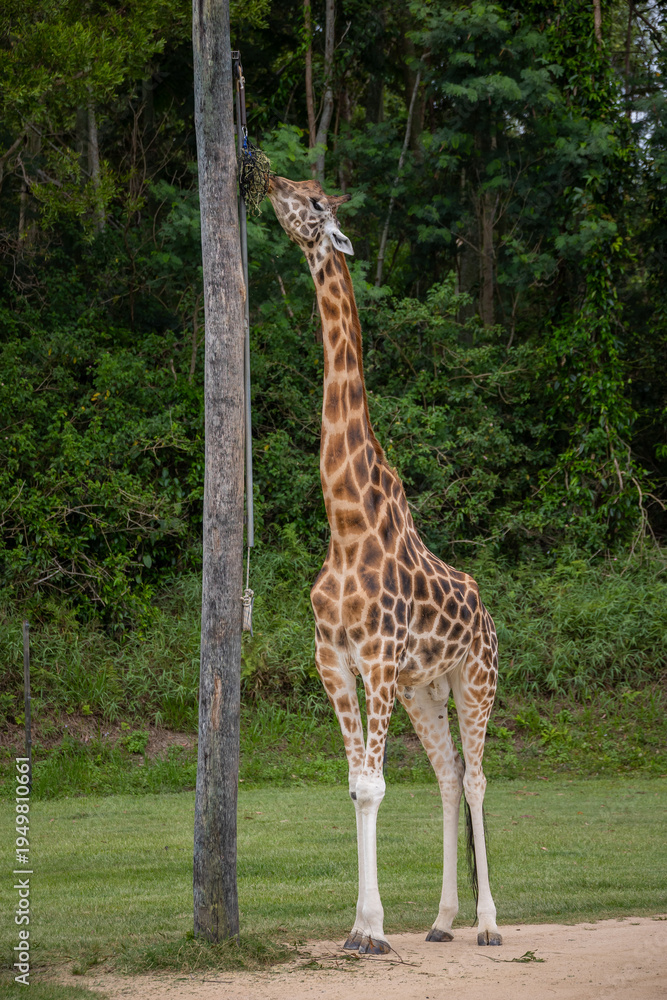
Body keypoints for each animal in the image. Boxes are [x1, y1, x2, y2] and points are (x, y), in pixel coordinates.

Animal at [267, 174, 502, 954]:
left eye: (314, 202)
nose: (265, 175)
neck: (345, 522)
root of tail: (487, 611)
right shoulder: (335, 659)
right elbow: (355, 783)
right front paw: (359, 926)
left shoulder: (374, 655)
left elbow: (371, 784)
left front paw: (370, 930)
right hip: (423, 689)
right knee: (449, 777)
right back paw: (441, 921)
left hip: (476, 677)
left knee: (479, 777)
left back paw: (489, 924)